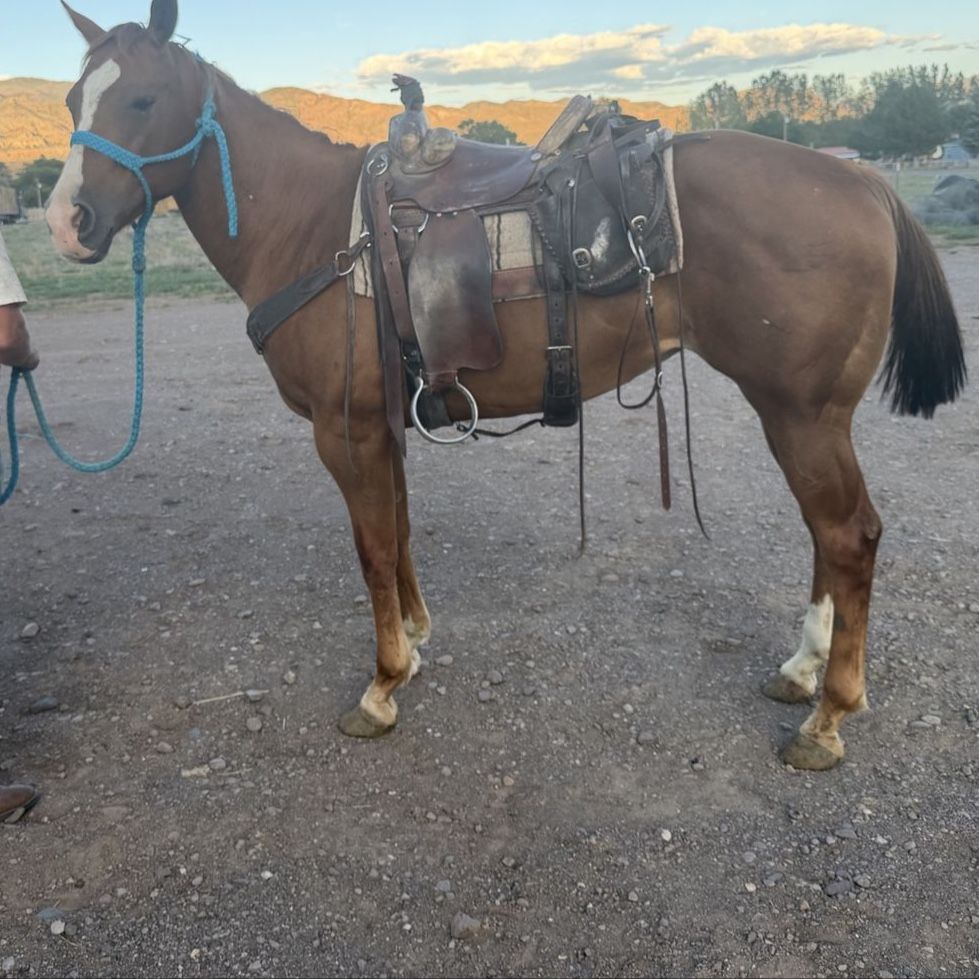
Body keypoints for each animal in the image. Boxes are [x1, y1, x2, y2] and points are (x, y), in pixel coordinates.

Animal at [46, 0, 966, 771]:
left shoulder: (344, 429)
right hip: (803, 416)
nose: (67, 222)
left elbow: (371, 548)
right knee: (827, 535)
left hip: (801, 414)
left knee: (848, 535)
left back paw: (827, 715)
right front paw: (414, 641)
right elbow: (398, 532)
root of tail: (863, 181)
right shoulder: (382, 424)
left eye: (143, 100)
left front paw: (381, 684)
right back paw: (802, 668)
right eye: (71, 102)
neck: (314, 226)